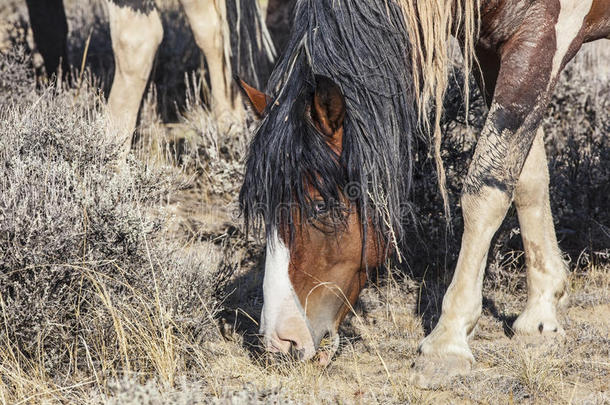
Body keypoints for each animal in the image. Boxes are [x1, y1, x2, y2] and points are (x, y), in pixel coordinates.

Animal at [24, 0, 274, 160]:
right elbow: (48, 26)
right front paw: (59, 85)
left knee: (139, 37)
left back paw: (107, 157)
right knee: (213, 28)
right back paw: (229, 129)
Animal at [236, 0, 608, 386]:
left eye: (320, 205)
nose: (280, 343)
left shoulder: (541, 41)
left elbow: (485, 191)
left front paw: (447, 342)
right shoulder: (490, 51)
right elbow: (525, 178)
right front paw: (540, 316)